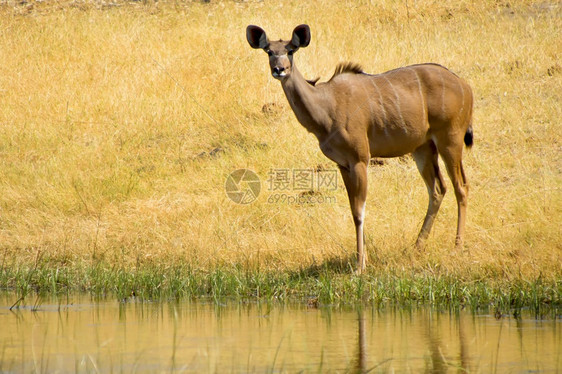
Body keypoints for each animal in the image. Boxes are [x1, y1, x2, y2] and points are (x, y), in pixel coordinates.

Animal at [247, 24, 470, 274]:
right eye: (269, 51)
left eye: (291, 50)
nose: (279, 69)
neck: (327, 106)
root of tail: (465, 85)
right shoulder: (342, 164)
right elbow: (353, 210)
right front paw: (360, 259)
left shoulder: (360, 159)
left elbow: (360, 211)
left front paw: (360, 266)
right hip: (422, 147)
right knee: (438, 189)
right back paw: (416, 247)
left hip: (450, 139)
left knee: (461, 186)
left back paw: (457, 246)